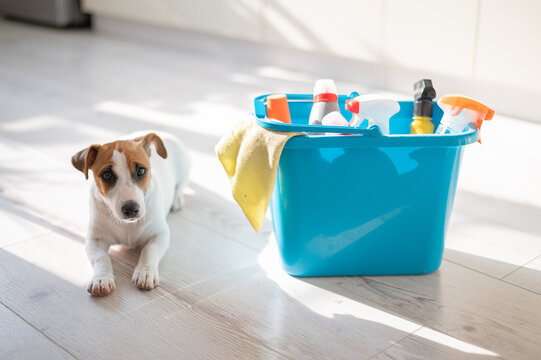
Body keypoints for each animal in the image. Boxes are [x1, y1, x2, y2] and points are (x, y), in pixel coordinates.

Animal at [71, 131, 190, 296]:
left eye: (141, 171)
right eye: (106, 175)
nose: (131, 209)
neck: (127, 226)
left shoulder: (160, 234)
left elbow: (149, 250)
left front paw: (145, 272)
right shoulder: (95, 240)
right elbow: (101, 258)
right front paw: (101, 278)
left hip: (184, 168)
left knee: (181, 185)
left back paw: (177, 199)